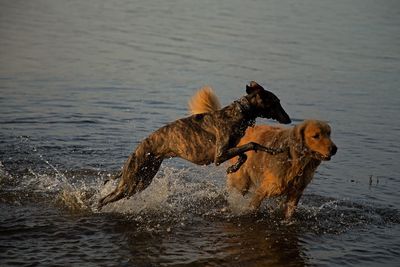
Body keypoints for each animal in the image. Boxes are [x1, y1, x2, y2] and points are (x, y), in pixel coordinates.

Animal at [97, 81, 290, 209]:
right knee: (104, 199)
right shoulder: (219, 155)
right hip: (132, 182)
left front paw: (233, 168)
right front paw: (273, 149)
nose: (289, 119)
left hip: (144, 179)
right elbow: (252, 144)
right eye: (276, 102)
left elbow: (243, 154)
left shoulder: (225, 152)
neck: (239, 112)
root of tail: (135, 152)